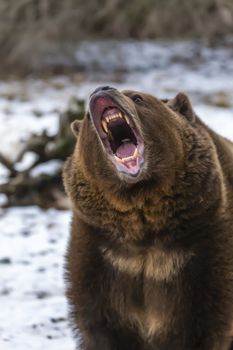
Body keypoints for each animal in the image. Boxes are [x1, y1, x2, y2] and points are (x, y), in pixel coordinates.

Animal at [62, 85, 233, 350]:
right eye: (88, 117)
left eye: (138, 97)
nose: (101, 89)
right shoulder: (101, 257)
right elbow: (100, 325)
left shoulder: (204, 251)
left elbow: (205, 324)